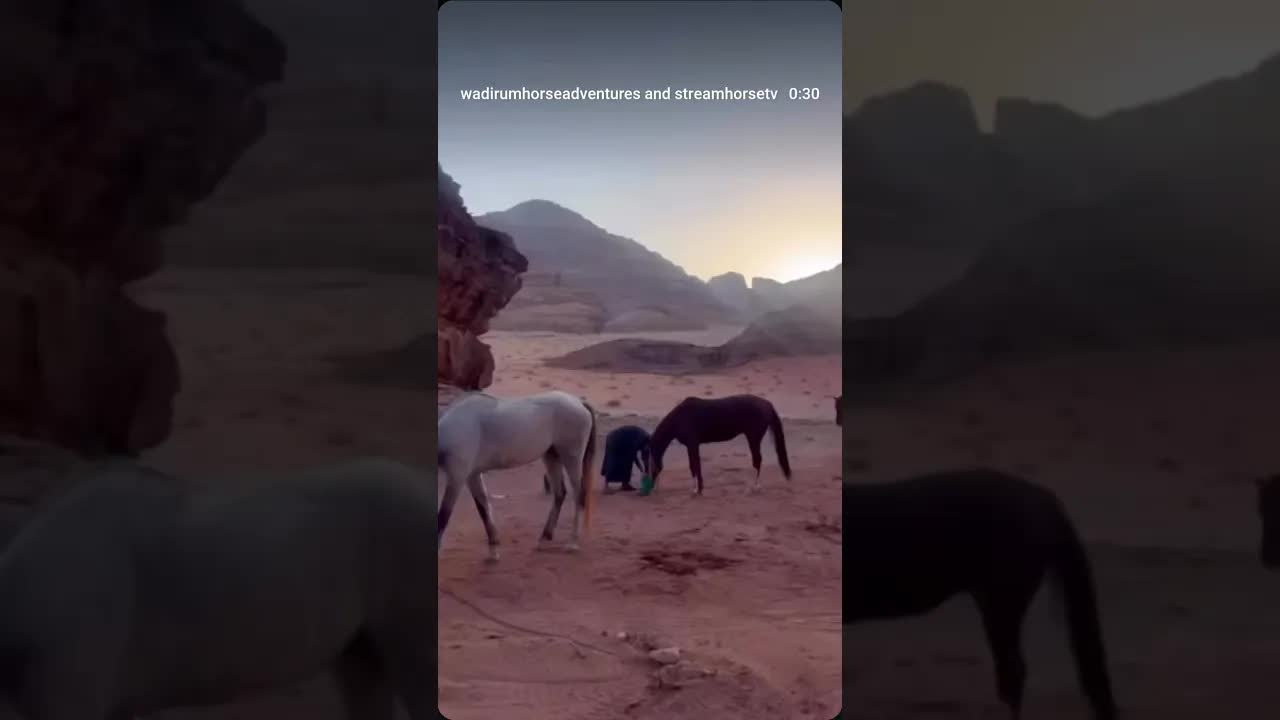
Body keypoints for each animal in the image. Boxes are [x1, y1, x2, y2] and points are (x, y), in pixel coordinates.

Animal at [437, 390, 597, 561]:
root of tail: (578, 402)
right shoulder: (472, 475)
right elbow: (483, 509)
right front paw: (493, 550)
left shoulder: (457, 476)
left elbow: (444, 515)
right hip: (551, 456)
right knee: (560, 493)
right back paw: (544, 538)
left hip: (571, 458)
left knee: (579, 495)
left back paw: (572, 543)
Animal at [648, 394, 791, 495]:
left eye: (651, 462)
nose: (653, 487)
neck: (680, 417)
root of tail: (767, 404)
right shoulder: (693, 445)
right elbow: (695, 465)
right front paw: (698, 489)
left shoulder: (692, 444)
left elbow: (694, 465)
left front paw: (696, 490)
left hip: (753, 438)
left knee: (757, 461)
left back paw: (753, 487)